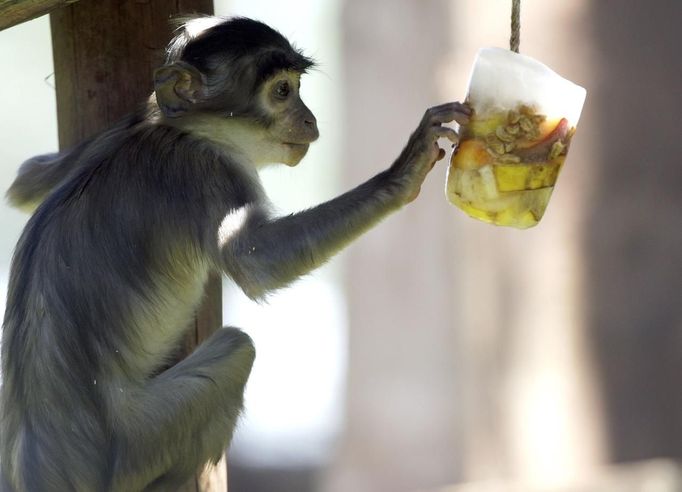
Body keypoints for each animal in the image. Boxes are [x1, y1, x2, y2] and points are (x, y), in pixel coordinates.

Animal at [0, 15, 470, 492]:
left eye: (298, 87)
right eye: (282, 91)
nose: (309, 119)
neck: (173, 129)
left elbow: (26, 181)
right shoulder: (205, 169)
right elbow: (254, 262)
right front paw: (403, 171)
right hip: (137, 445)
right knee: (236, 348)